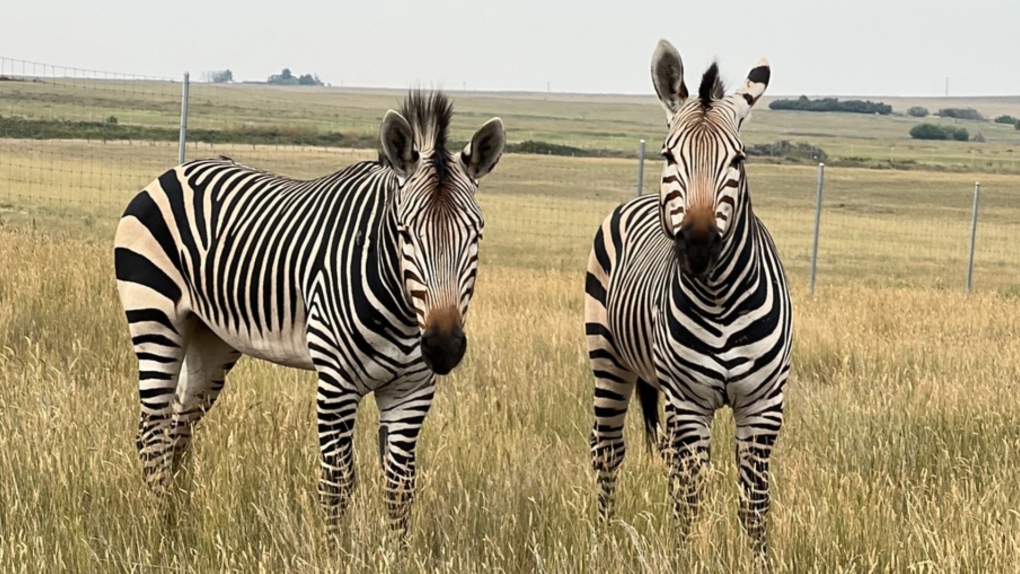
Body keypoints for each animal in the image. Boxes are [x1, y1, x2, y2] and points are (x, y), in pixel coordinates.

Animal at [114, 89, 505, 534]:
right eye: (404, 233)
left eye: (476, 234)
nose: (443, 346)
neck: (406, 314)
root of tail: (172, 173)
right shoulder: (336, 384)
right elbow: (336, 484)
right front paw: (335, 548)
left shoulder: (412, 390)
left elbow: (400, 489)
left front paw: (395, 548)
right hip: (154, 319)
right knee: (151, 433)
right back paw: (158, 530)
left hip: (210, 339)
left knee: (178, 428)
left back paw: (179, 524)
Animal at [587, 38, 791, 562]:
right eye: (668, 155)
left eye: (738, 160)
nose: (697, 246)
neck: (720, 298)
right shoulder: (689, 399)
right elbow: (691, 495)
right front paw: (686, 554)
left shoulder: (763, 403)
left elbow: (754, 498)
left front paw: (759, 559)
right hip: (607, 359)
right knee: (608, 449)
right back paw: (603, 536)